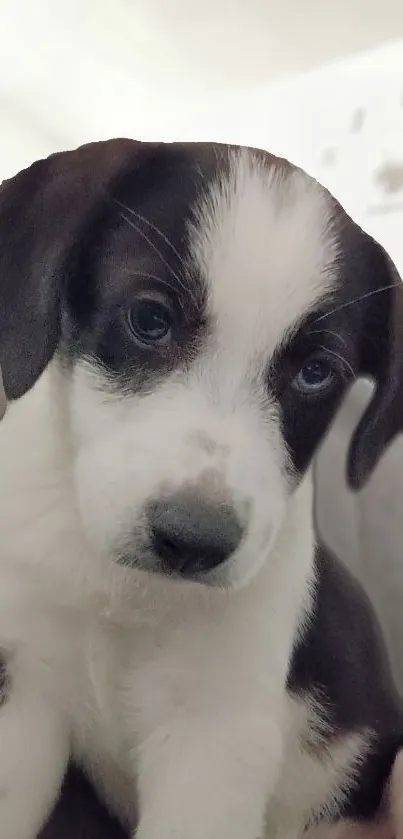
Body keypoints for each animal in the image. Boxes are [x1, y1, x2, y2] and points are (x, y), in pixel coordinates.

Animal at [0, 139, 402, 839]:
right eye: (148, 319)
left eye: (317, 373)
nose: (194, 541)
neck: (123, 595)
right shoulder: (20, 687)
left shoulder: (214, 746)